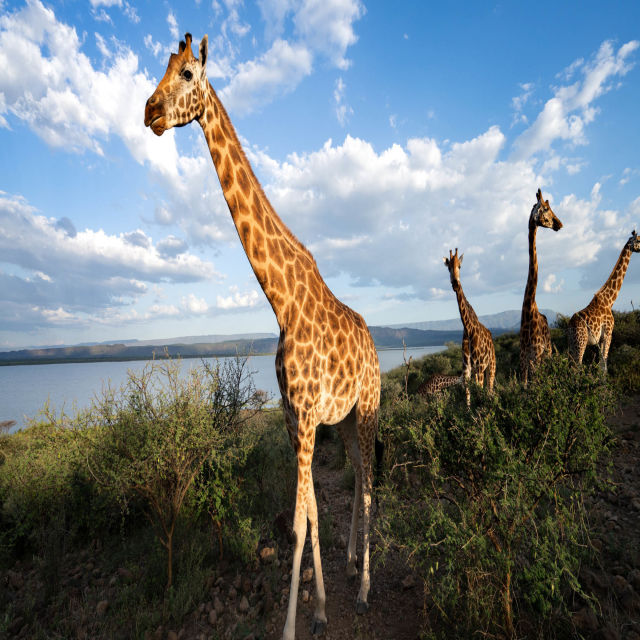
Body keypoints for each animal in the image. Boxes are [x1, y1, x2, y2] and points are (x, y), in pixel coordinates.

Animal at [144, 34, 380, 640]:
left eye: (186, 74)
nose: (149, 112)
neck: (281, 302)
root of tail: (373, 343)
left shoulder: (306, 415)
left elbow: (296, 522)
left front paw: (295, 623)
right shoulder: (295, 417)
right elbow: (311, 511)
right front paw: (319, 607)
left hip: (370, 406)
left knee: (371, 484)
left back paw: (366, 587)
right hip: (346, 418)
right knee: (357, 479)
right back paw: (350, 564)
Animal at [443, 248, 496, 404]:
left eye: (460, 266)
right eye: (448, 267)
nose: (455, 284)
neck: (468, 329)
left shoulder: (479, 366)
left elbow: (479, 391)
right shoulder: (467, 368)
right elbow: (468, 393)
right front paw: (469, 409)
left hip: (491, 365)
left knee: (490, 387)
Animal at [568, 230, 640, 371]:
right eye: (639, 239)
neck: (609, 300)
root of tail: (570, 325)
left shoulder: (600, 339)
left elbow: (602, 365)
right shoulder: (608, 333)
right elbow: (604, 365)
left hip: (572, 344)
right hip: (581, 341)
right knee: (577, 367)